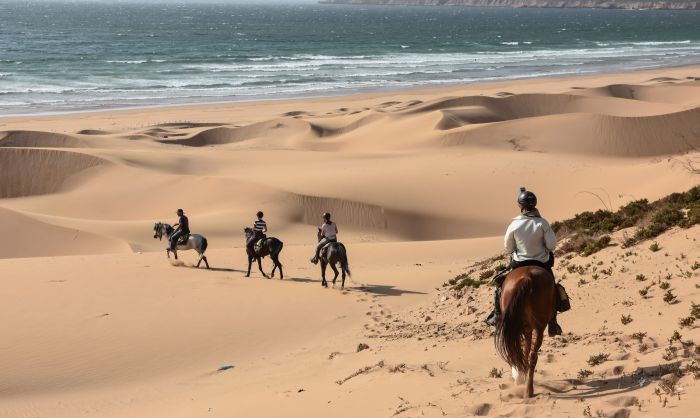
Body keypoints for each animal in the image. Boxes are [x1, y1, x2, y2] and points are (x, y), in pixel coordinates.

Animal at [494, 264, 556, 398]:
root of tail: (527, 277)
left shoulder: (525, 329)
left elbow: (524, 350)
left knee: (521, 352)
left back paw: (525, 386)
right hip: (537, 327)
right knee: (531, 355)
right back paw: (527, 389)